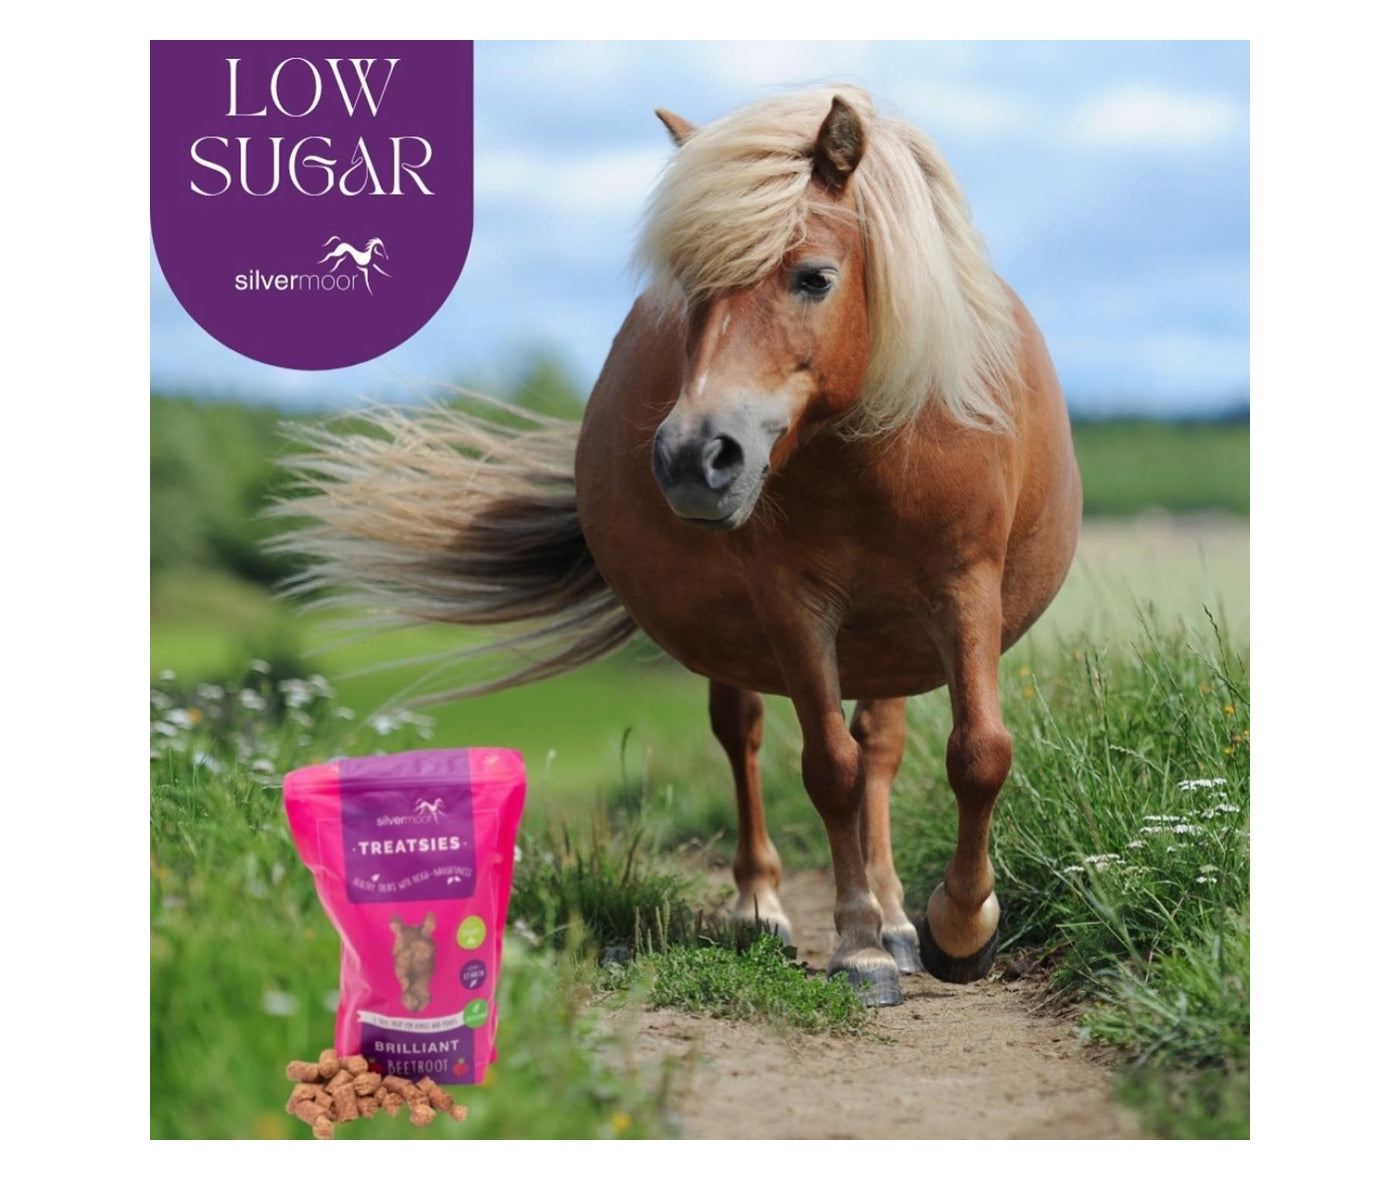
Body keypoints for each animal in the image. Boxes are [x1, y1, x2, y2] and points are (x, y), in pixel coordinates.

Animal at [282, 86, 1082, 1007]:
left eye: (814, 277)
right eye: (691, 292)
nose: (696, 457)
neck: (871, 449)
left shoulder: (964, 589)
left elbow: (977, 753)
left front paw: (958, 929)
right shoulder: (792, 605)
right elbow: (829, 768)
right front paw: (858, 948)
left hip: (891, 638)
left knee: (881, 746)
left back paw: (898, 918)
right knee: (747, 737)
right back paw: (766, 910)